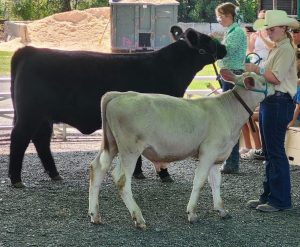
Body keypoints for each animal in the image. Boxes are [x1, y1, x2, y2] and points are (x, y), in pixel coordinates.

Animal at [88, 68, 274, 229]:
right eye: (263, 81)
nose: (274, 86)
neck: (229, 112)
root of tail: (119, 94)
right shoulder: (208, 151)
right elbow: (199, 181)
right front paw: (191, 213)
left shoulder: (218, 156)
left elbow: (216, 183)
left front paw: (221, 210)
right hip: (130, 149)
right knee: (121, 179)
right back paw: (138, 218)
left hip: (112, 145)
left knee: (96, 169)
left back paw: (95, 215)